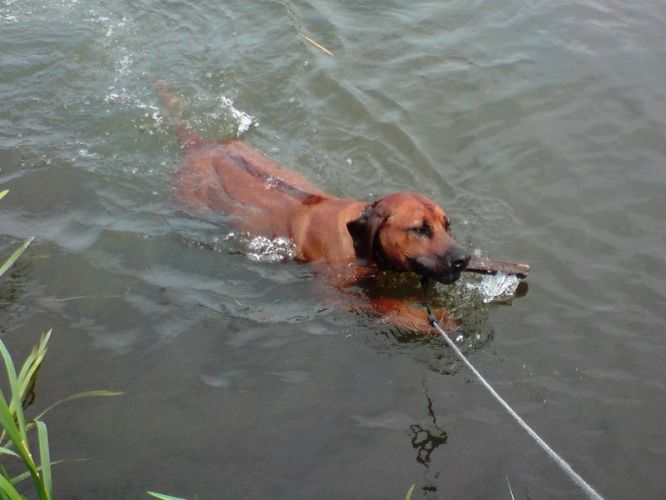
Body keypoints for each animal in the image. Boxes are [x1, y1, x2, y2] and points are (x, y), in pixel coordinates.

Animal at [157, 83, 470, 333]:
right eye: (420, 229)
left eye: (447, 225)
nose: (463, 258)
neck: (356, 240)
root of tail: (200, 145)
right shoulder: (335, 292)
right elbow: (383, 304)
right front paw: (427, 319)